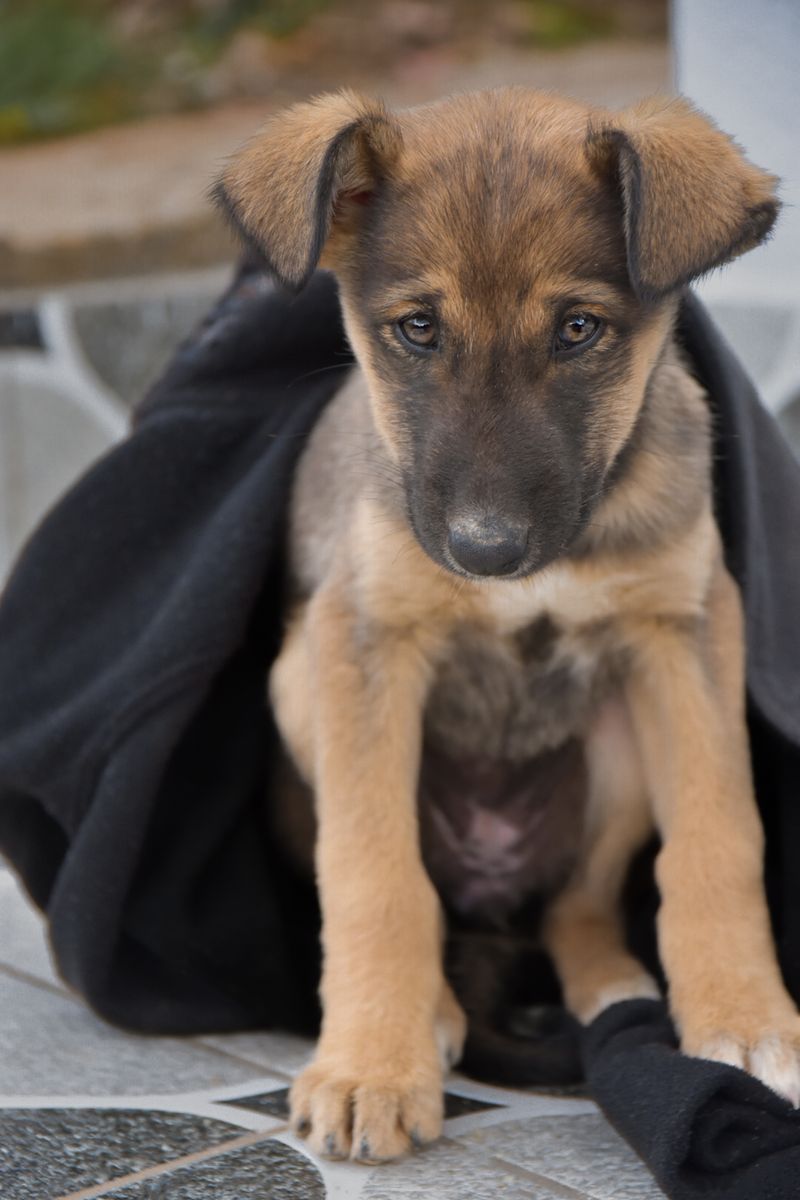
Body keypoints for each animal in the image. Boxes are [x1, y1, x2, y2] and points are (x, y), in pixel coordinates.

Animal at [212, 88, 796, 1166]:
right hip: (297, 682)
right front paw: (370, 1065)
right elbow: (371, 872)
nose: (485, 553)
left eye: (577, 329)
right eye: (416, 329)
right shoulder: (360, 637)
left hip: (615, 744)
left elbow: (717, 835)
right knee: (432, 896)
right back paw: (433, 1012)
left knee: (576, 905)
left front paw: (743, 1020)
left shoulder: (686, 627)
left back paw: (613, 987)